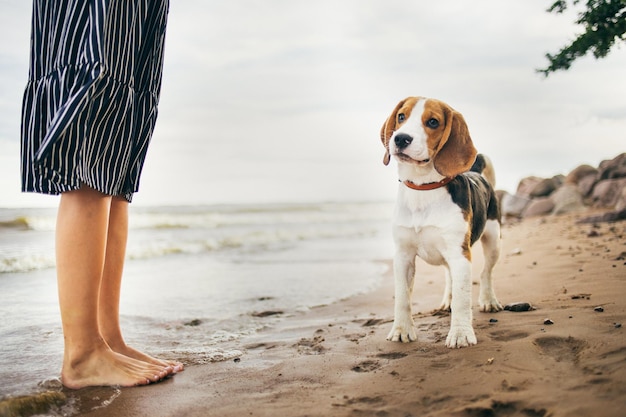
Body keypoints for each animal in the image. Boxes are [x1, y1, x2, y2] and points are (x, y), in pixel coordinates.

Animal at [378, 96, 500, 346]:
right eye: (401, 116)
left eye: (433, 122)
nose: (400, 138)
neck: (423, 187)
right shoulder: (403, 256)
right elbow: (402, 297)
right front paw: (402, 330)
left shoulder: (460, 255)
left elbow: (463, 299)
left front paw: (461, 333)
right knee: (449, 277)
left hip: (493, 241)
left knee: (486, 273)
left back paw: (488, 300)